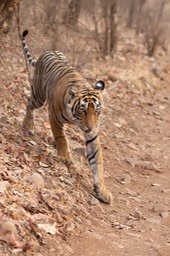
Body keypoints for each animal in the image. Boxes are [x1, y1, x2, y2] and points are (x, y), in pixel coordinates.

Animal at [21, 29, 112, 204]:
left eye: (97, 110)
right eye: (83, 110)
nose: (90, 126)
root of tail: (47, 52)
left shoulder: (92, 134)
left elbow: (98, 161)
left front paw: (102, 191)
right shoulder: (54, 117)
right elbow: (61, 137)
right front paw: (64, 156)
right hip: (39, 96)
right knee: (29, 103)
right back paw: (27, 126)